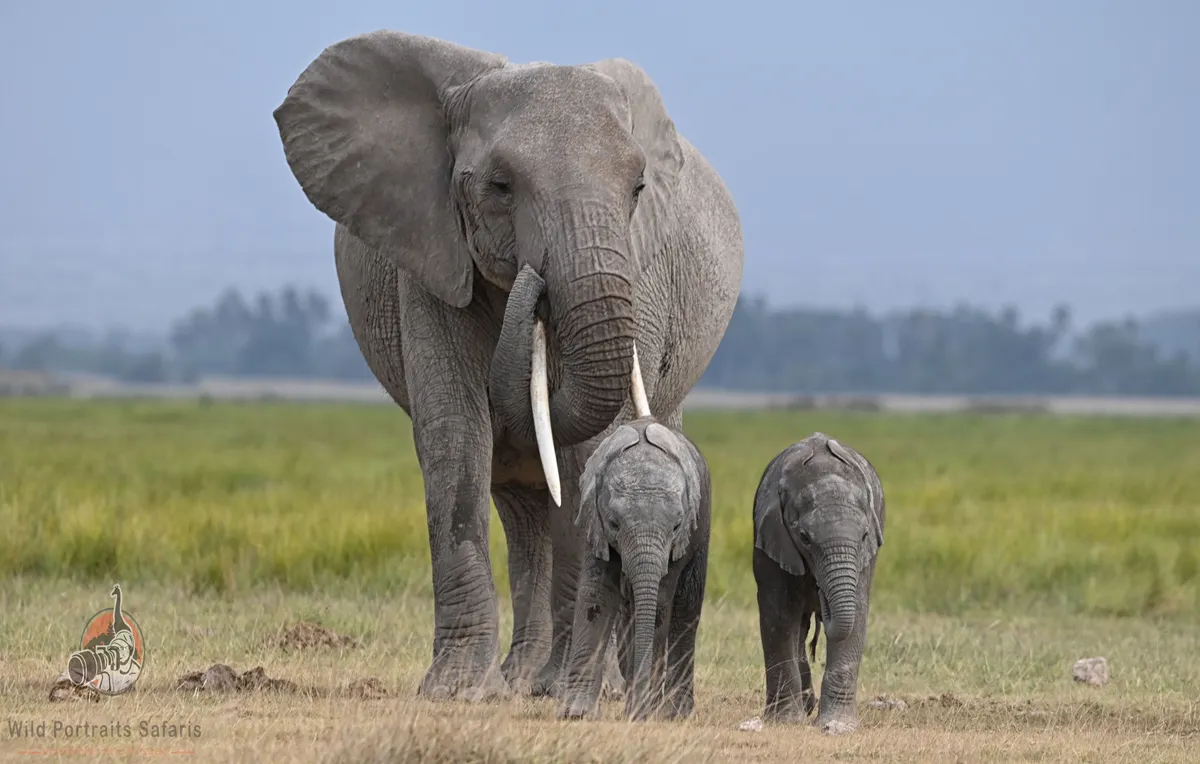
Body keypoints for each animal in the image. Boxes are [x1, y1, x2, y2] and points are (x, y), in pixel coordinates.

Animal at [556, 414, 711, 721]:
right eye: (614, 523)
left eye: (676, 526)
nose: (637, 714)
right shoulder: (594, 524)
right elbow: (597, 596)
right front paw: (576, 714)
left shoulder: (680, 541)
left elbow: (659, 603)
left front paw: (642, 713)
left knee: (685, 610)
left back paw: (676, 714)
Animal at [751, 433, 886, 734]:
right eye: (804, 538)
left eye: (864, 536)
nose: (819, 592)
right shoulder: (771, 539)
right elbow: (778, 616)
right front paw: (786, 721)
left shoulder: (865, 556)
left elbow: (857, 613)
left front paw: (838, 725)